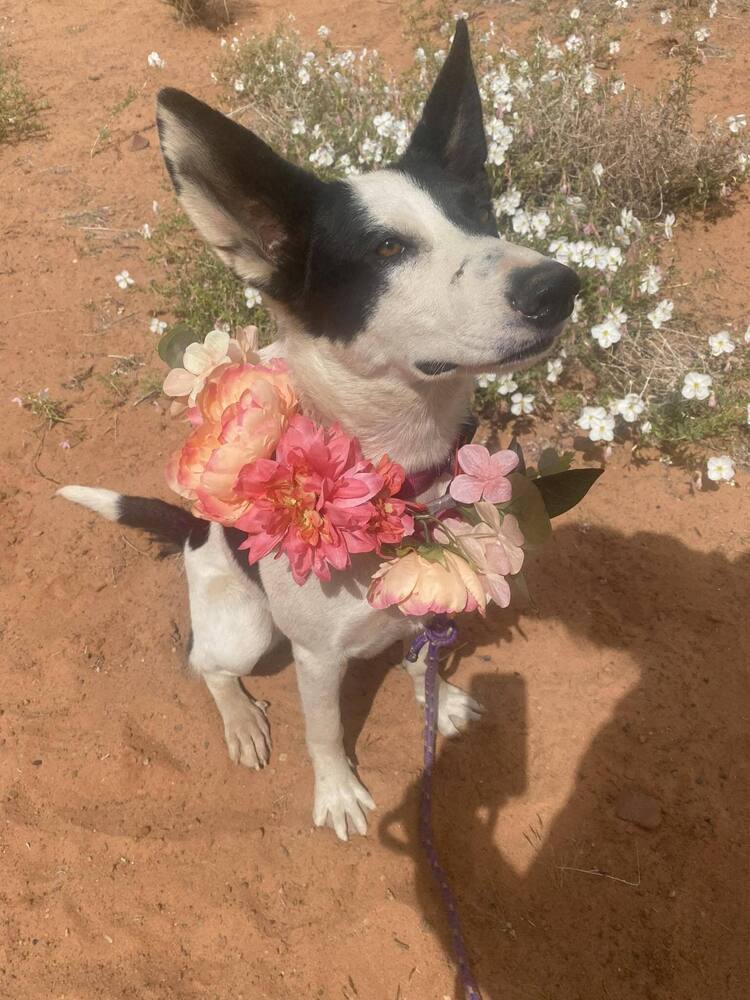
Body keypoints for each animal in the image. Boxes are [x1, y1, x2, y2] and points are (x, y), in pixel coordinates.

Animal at [63, 19, 580, 840]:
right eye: (387, 249)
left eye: (483, 217)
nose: (560, 286)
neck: (396, 475)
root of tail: (192, 530)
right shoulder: (315, 658)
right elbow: (325, 731)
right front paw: (336, 791)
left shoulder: (422, 606)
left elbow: (422, 661)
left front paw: (440, 699)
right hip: (246, 628)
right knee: (206, 664)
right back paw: (241, 718)